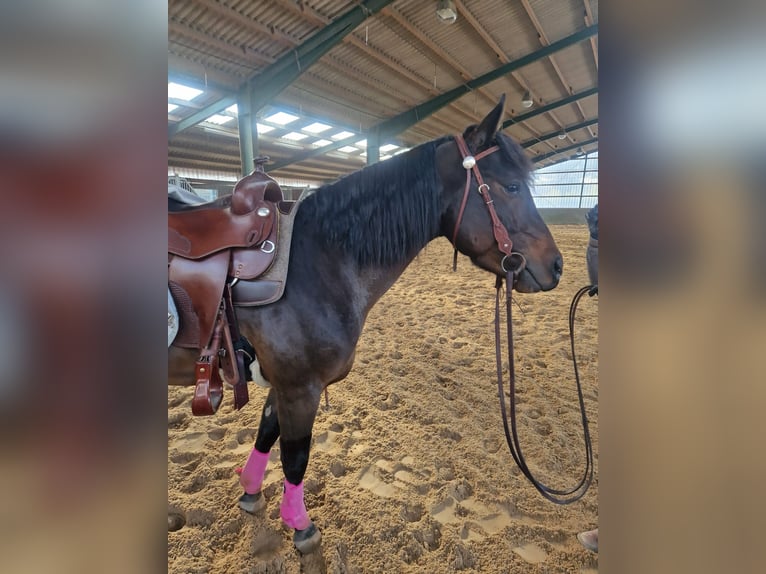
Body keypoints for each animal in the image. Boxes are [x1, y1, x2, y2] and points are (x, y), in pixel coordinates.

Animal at [168, 96, 563, 553]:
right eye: (512, 186)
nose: (556, 266)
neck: (320, 259)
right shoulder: (301, 388)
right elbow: (296, 458)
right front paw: (300, 525)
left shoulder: (281, 382)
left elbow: (267, 434)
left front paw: (250, 492)